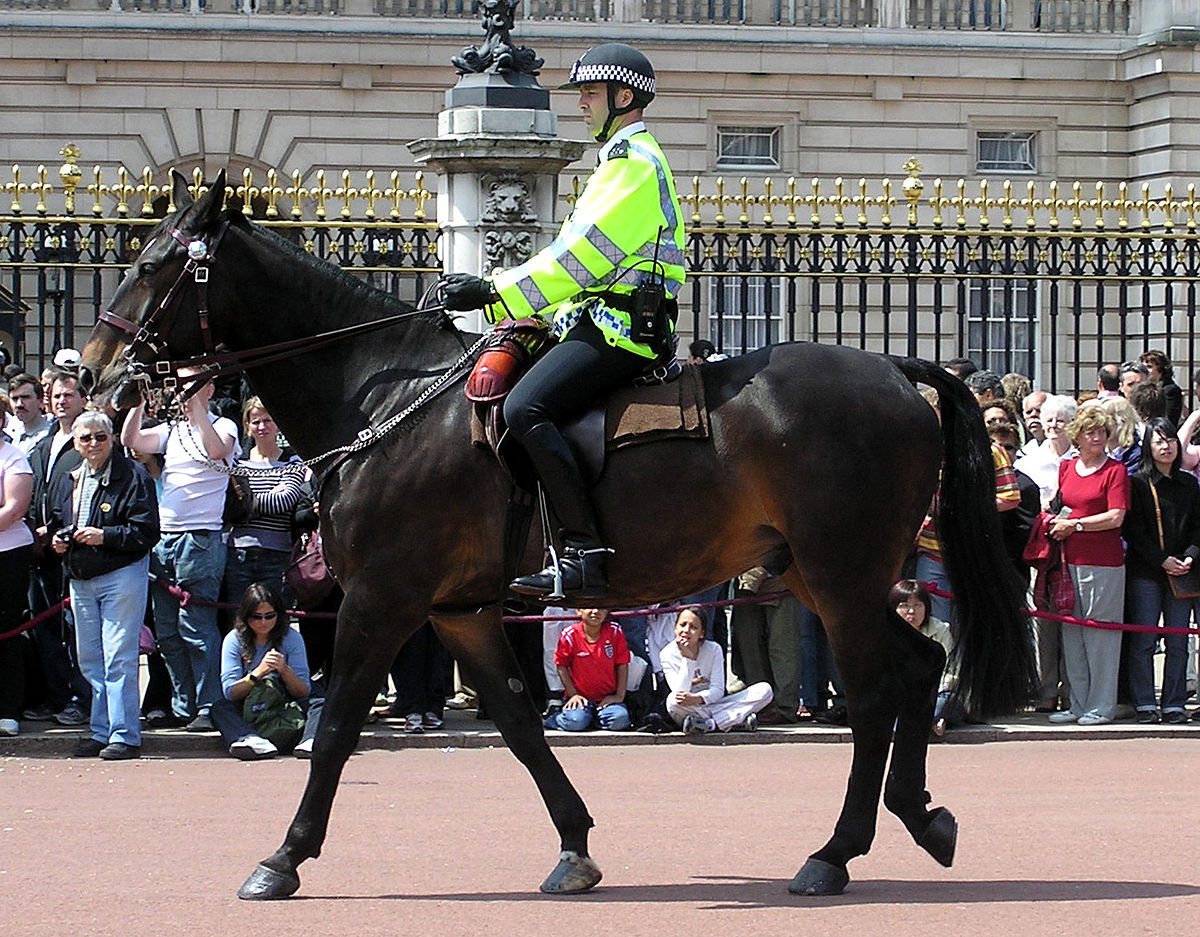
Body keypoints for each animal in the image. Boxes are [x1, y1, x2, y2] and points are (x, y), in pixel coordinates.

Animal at [79, 171, 1036, 902]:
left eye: (155, 263)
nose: (95, 375)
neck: (387, 396)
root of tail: (895, 367)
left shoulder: (381, 600)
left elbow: (342, 720)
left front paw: (284, 855)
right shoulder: (458, 610)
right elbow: (517, 721)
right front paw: (574, 843)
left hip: (841, 576)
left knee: (875, 691)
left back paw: (834, 853)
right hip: (814, 573)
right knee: (918, 666)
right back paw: (921, 817)